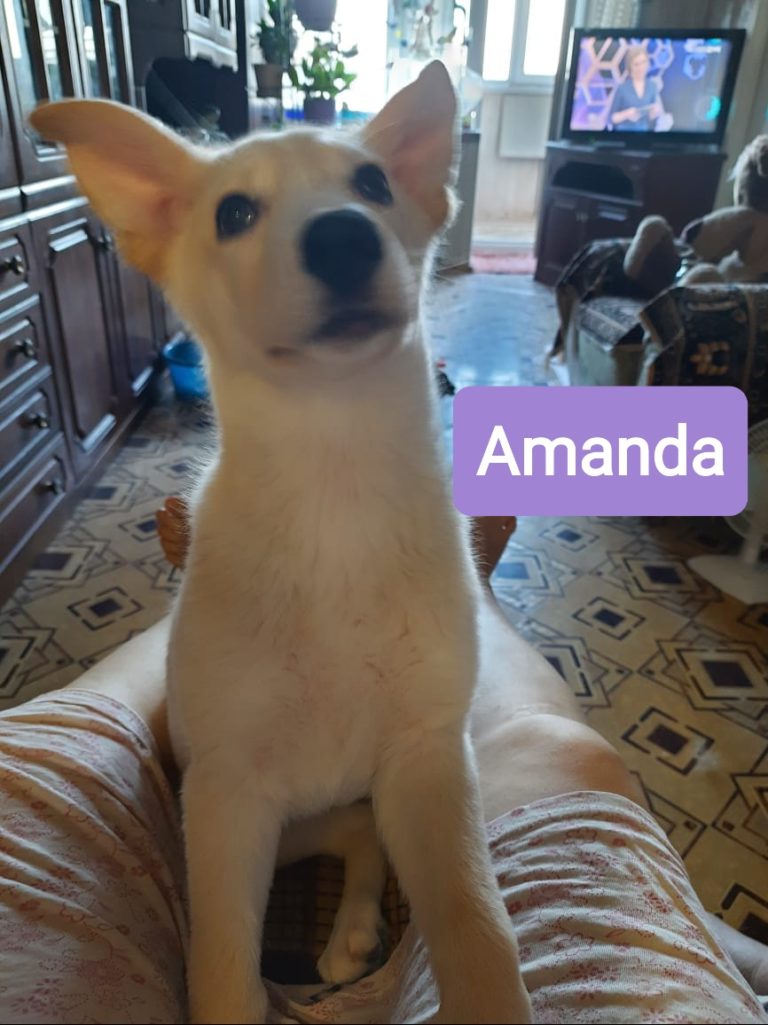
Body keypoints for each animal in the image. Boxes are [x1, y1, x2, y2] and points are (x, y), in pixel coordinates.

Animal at [31, 63, 532, 1024]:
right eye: (233, 213)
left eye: (372, 184)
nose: (343, 238)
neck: (331, 486)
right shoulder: (228, 799)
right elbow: (224, 970)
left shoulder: (426, 759)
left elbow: (480, 930)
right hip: (256, 809)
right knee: (349, 827)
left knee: (363, 827)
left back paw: (352, 930)